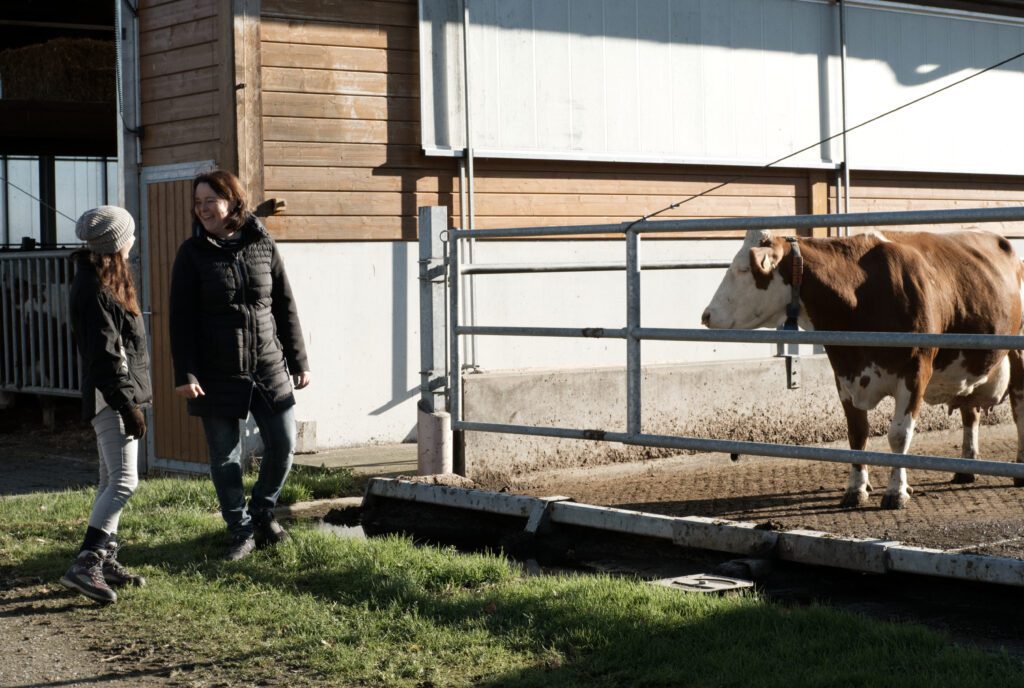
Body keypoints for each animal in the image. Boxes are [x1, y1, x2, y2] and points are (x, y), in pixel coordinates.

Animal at [701, 229, 1024, 509]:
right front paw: (856, 488)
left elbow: (899, 434)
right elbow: (857, 433)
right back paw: (966, 467)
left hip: (1019, 352)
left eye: (743, 269)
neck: (861, 292)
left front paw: (896, 491)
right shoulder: (844, 372)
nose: (706, 315)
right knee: (971, 411)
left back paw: (1018, 468)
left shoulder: (916, 371)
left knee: (1019, 408)